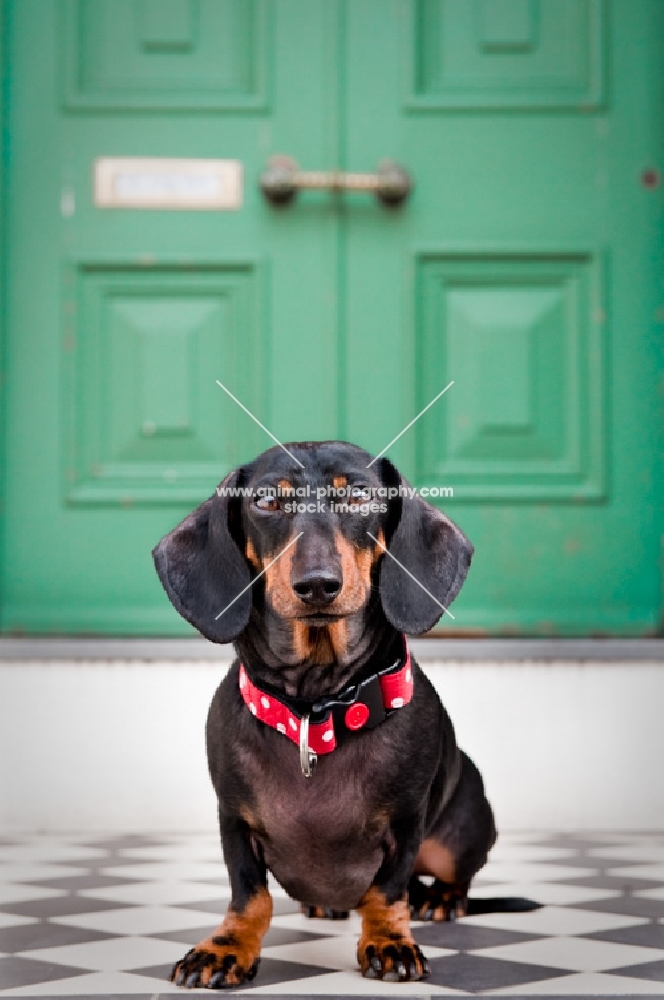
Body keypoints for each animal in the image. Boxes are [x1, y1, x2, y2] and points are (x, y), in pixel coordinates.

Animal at [153, 442, 496, 988]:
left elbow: (387, 890)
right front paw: (226, 948)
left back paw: (440, 898)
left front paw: (389, 941)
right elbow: (249, 895)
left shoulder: (406, 821)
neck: (316, 712)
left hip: (461, 830)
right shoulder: (233, 818)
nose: (317, 585)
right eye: (267, 501)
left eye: (358, 496)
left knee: (448, 874)